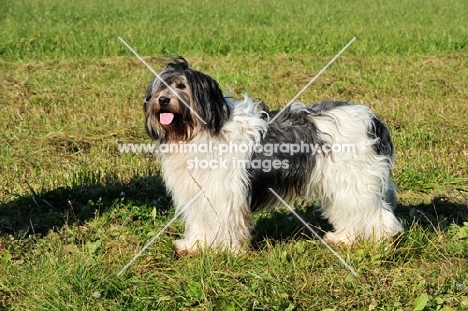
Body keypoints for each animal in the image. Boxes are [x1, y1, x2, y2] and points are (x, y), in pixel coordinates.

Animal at [143, 57, 402, 255]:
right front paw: (195, 245)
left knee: (376, 215)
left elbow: (225, 222)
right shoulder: (197, 193)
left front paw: (225, 251)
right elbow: (200, 222)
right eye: (160, 87)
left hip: (355, 180)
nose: (162, 100)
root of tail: (373, 120)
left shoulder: (223, 192)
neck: (199, 130)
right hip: (339, 184)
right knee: (349, 212)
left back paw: (381, 244)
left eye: (181, 86)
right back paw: (345, 238)